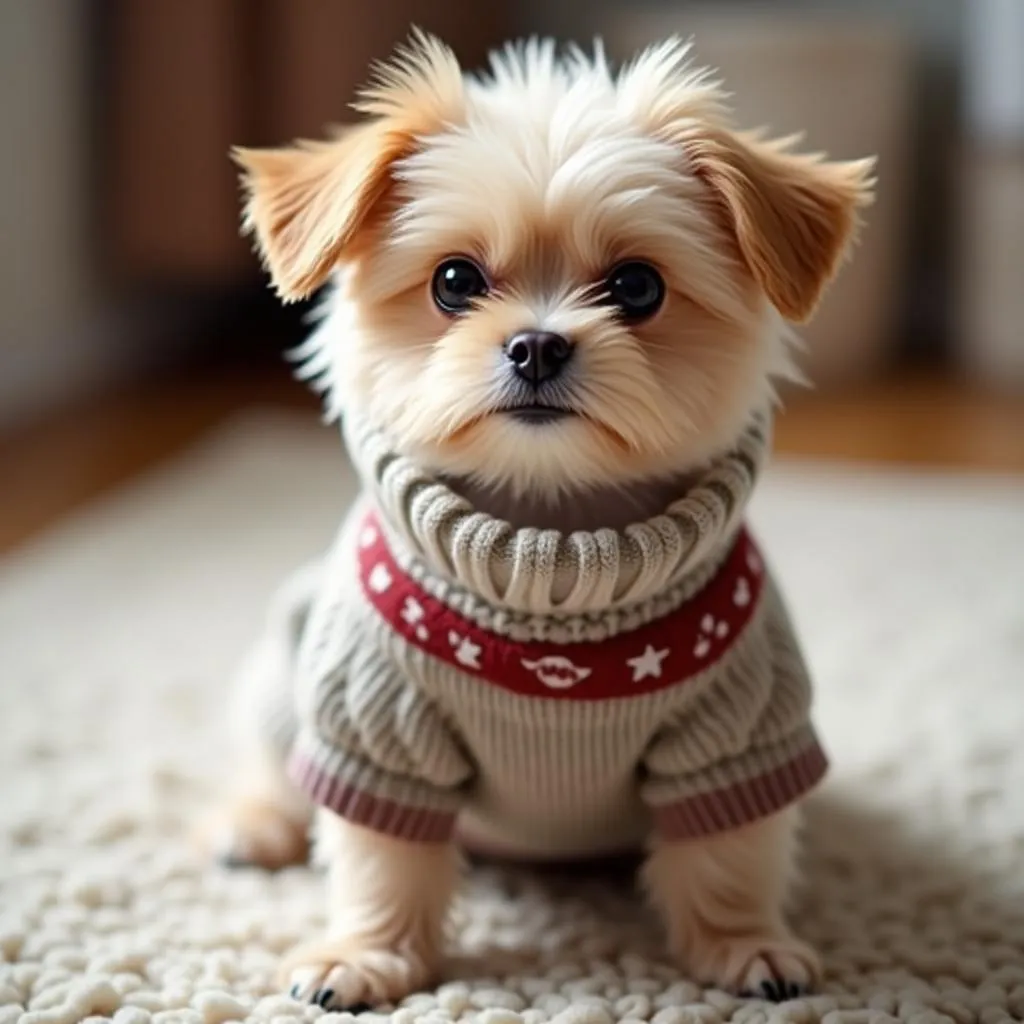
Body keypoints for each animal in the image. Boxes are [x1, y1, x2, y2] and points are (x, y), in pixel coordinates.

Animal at [203, 29, 876, 1007]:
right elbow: (380, 860)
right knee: (273, 765)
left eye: (636, 287)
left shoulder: (739, 731)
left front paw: (746, 946)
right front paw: (363, 957)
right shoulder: (376, 731)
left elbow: (729, 856)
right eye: (454, 281)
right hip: (288, 678)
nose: (536, 344)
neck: (552, 561)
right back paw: (251, 827)